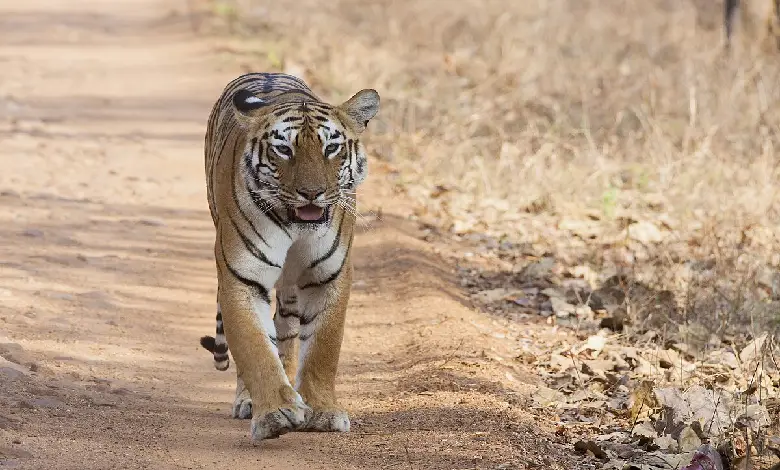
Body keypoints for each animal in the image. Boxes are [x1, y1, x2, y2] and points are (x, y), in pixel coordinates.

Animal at [200, 71, 380, 442]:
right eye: (284, 149)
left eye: (331, 148)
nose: (312, 193)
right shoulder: (241, 277)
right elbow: (254, 347)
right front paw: (275, 413)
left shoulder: (329, 276)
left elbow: (323, 348)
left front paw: (322, 411)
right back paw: (250, 401)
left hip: (290, 290)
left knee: (285, 328)